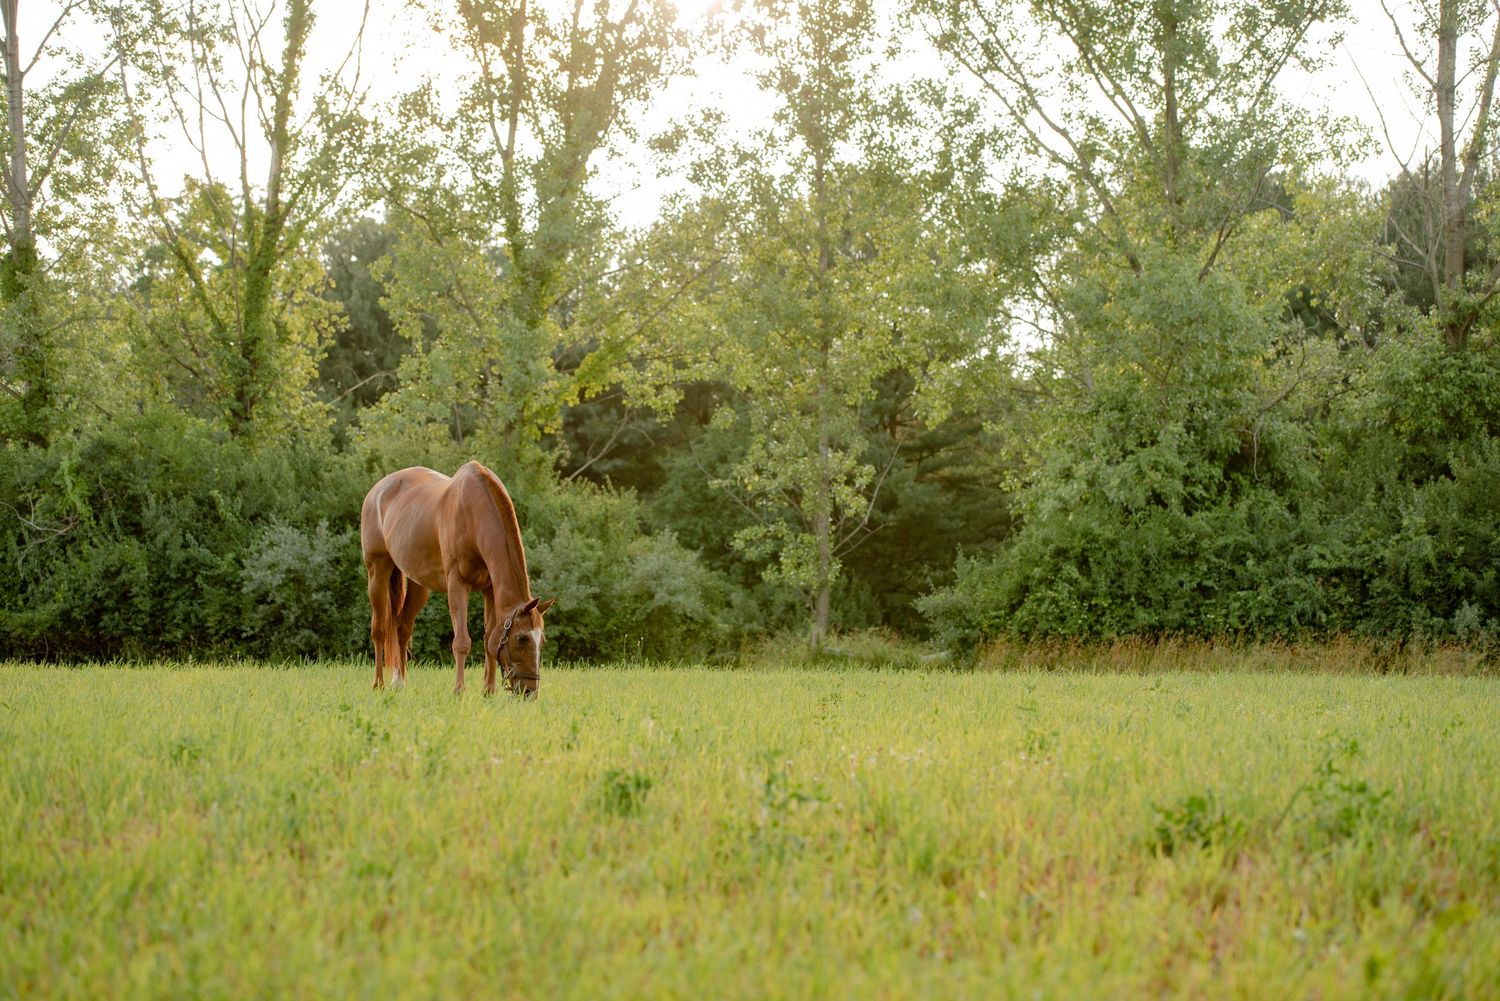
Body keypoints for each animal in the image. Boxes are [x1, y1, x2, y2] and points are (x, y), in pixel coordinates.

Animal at [360, 461, 554, 696]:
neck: (473, 516)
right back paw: (378, 684)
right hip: (377, 572)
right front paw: (459, 690)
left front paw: (488, 691)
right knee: (379, 630)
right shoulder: (457, 585)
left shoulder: (490, 589)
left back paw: (399, 682)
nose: (529, 692)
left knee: (402, 628)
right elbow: (461, 642)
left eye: (542, 640)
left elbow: (489, 639)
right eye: (521, 639)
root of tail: (376, 491)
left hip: (419, 585)